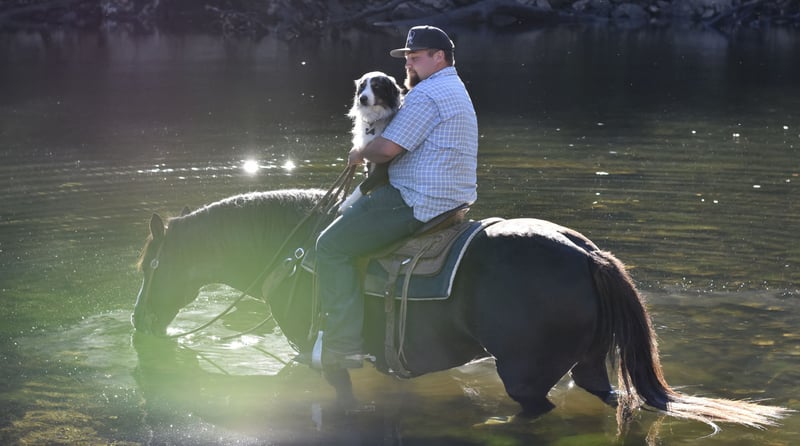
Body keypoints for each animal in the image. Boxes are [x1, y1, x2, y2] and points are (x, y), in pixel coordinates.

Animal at [132, 188, 789, 431]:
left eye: (150, 267)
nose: (136, 325)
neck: (297, 251)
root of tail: (588, 254)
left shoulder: (326, 359)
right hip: (590, 365)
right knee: (609, 400)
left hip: (524, 374)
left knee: (537, 411)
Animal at [340, 71, 403, 210]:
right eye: (362, 86)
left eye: (376, 86)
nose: (362, 98)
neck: (374, 118)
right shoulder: (370, 160)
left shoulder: (383, 165)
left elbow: (363, 185)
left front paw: (345, 205)